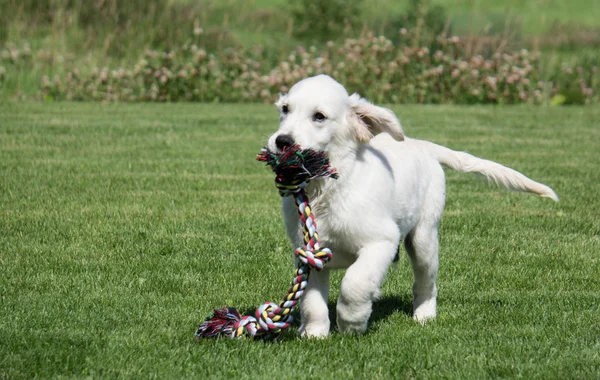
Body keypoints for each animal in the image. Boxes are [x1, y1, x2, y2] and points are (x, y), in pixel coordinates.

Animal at [268, 74, 556, 338]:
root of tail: (420, 144)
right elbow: (311, 300)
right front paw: (314, 333)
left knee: (426, 284)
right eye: (285, 109)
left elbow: (355, 283)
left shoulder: (382, 240)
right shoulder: (308, 252)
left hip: (424, 238)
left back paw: (424, 315)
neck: (327, 190)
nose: (282, 142)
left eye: (319, 116)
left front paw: (352, 323)